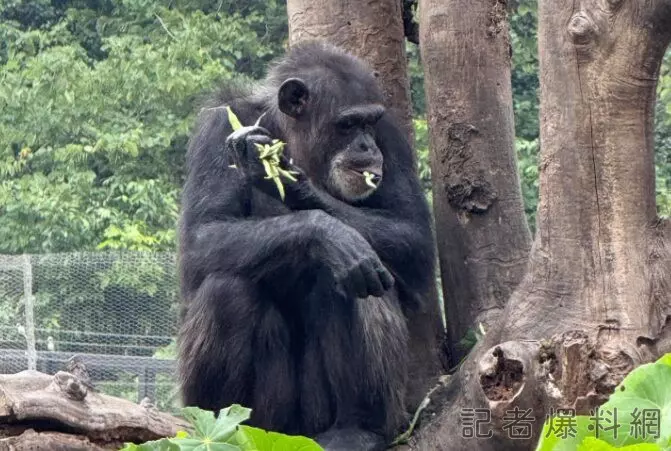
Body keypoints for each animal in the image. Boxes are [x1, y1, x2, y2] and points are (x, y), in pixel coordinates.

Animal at [177, 40, 436, 450]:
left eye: (369, 123)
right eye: (347, 124)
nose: (367, 146)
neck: (295, 138)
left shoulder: (391, 134)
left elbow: (412, 234)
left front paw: (288, 179)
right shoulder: (216, 128)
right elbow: (202, 236)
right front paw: (324, 231)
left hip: (323, 419)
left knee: (354, 277)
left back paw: (357, 430)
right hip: (271, 420)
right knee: (226, 289)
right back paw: (223, 428)